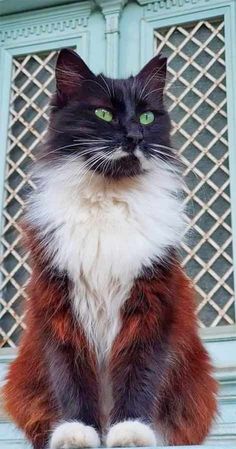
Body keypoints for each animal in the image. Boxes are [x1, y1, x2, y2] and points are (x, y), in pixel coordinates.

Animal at [3, 49, 218, 448]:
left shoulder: (151, 301)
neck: (109, 199)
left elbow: (139, 372)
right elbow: (70, 377)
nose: (134, 135)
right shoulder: (60, 306)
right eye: (103, 114)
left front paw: (131, 431)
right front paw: (77, 432)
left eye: (147, 117)